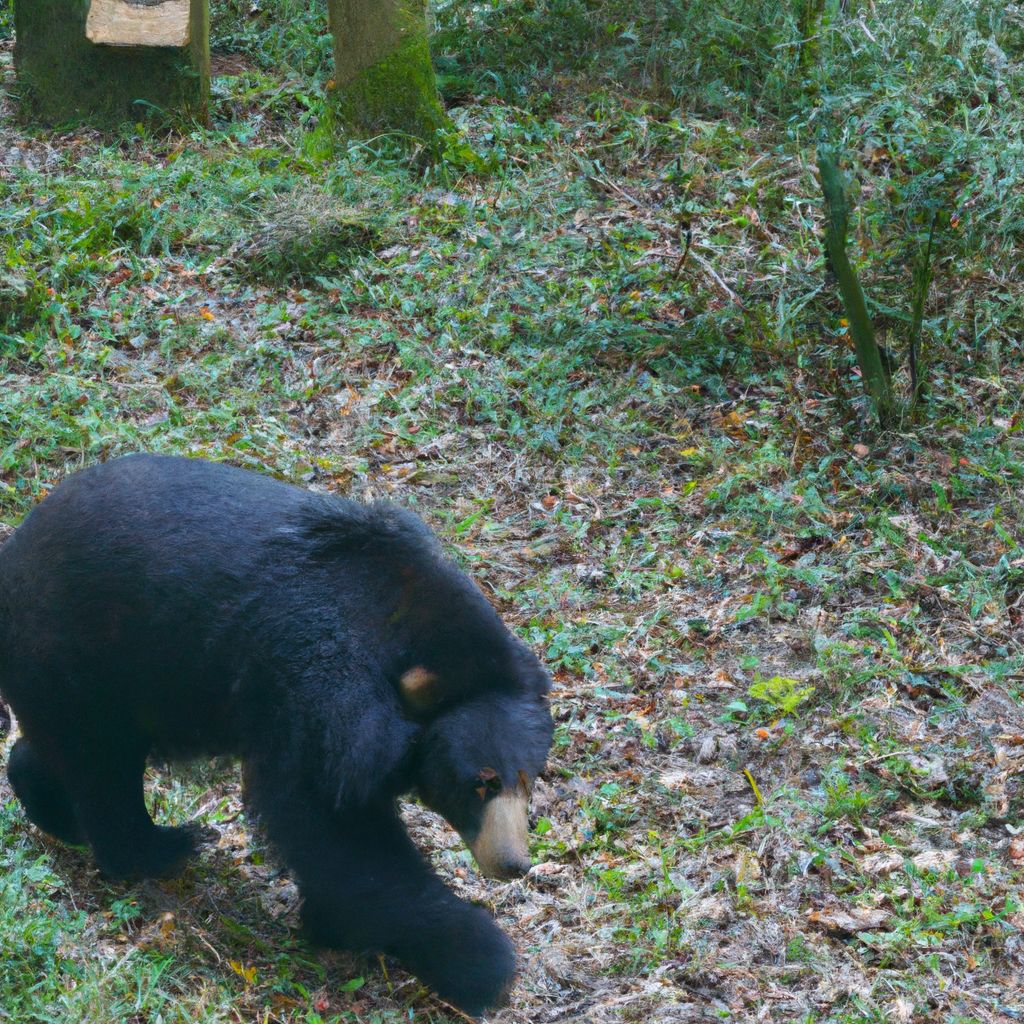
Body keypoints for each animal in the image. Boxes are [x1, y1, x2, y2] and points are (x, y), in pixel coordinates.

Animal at [0, 456, 552, 1015]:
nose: (514, 863)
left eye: (528, 781)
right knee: (100, 765)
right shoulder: (320, 685)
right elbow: (334, 827)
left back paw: (56, 810)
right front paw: (477, 959)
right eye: (479, 782)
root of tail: (18, 543)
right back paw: (161, 847)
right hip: (85, 647)